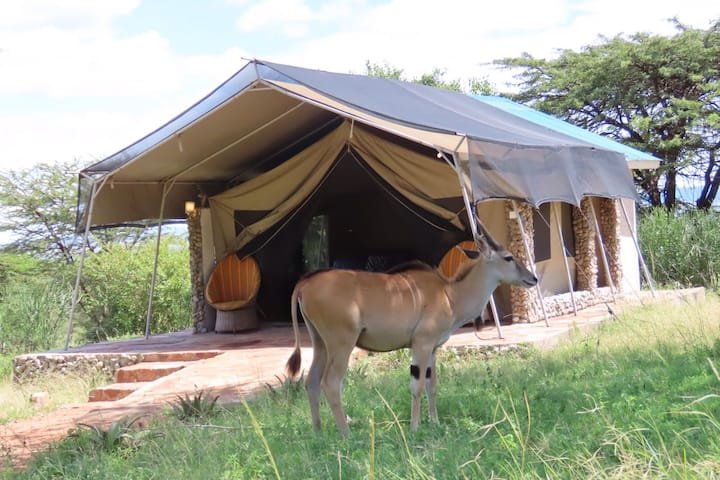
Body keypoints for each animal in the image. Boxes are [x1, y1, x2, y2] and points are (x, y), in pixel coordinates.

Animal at [285, 224, 537, 435]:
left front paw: (435, 422)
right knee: (331, 383)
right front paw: (415, 428)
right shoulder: (422, 344)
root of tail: (305, 284)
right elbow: (417, 386)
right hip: (341, 343)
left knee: (311, 382)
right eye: (508, 257)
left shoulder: (434, 348)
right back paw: (346, 435)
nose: (533, 278)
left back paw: (318, 432)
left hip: (320, 343)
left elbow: (432, 385)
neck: (450, 295)